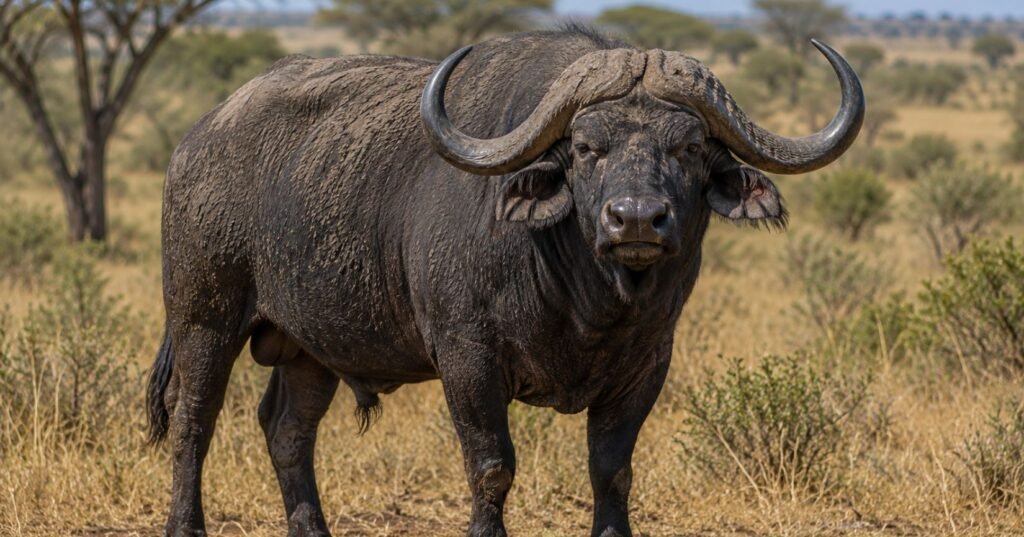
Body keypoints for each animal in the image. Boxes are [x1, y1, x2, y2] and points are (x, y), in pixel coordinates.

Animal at [148, 27, 863, 537]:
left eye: (688, 147)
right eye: (586, 148)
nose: (636, 219)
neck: (588, 300)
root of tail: (197, 140)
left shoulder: (647, 365)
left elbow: (613, 472)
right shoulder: (467, 358)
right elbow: (491, 468)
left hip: (310, 349)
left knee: (287, 429)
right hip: (204, 317)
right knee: (193, 420)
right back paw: (186, 525)